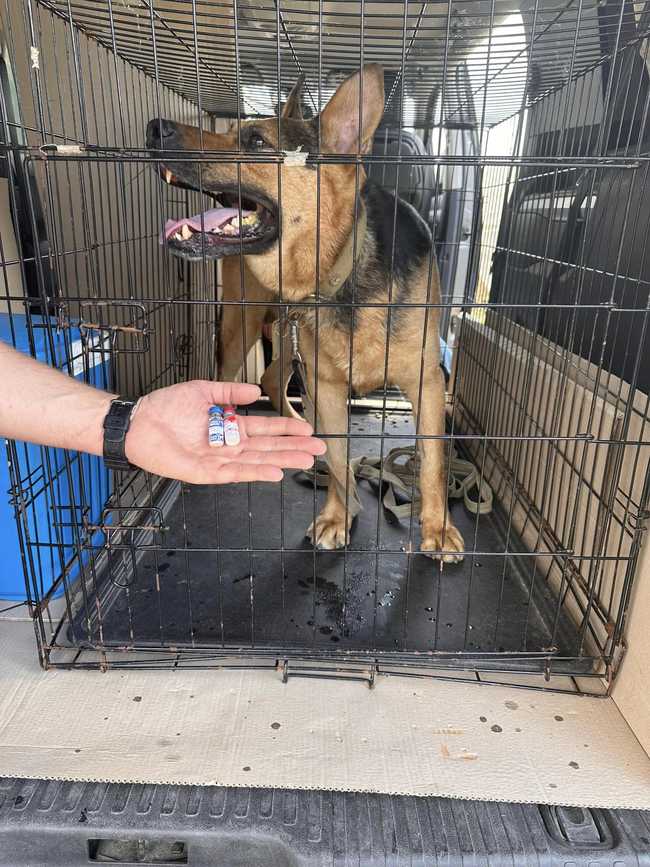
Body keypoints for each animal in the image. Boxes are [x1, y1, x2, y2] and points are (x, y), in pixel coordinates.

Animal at [146, 64, 464, 562]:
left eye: (256, 141)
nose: (154, 127)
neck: (340, 273)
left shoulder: (426, 382)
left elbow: (432, 461)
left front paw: (438, 528)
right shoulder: (326, 384)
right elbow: (338, 459)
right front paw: (339, 514)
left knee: (272, 377)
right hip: (244, 327)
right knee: (244, 380)